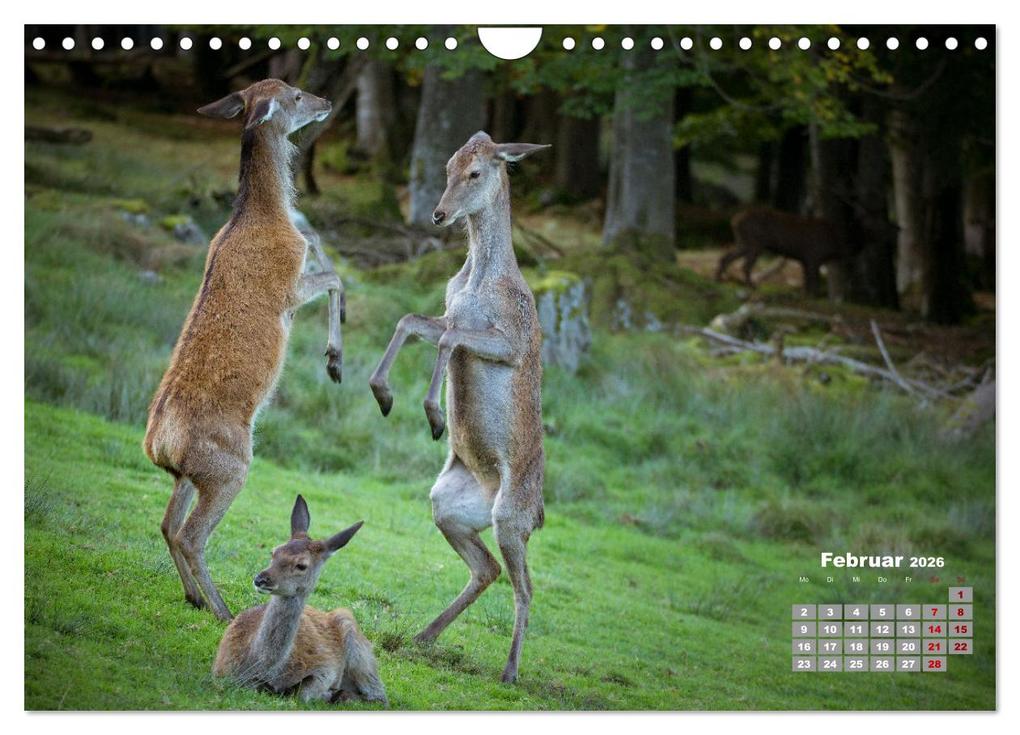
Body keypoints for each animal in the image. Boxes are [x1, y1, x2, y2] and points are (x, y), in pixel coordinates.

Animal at [144, 79, 346, 621]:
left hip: (186, 475)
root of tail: (159, 445)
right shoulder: (288, 286)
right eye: (294, 96)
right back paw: (223, 610)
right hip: (230, 467)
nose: (325, 101)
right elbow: (335, 276)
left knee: (167, 524)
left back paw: (193, 596)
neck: (264, 215)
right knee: (190, 534)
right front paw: (334, 360)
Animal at [213, 495, 387, 705]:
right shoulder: (221, 668)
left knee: (380, 696)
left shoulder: (325, 667)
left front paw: (328, 693)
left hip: (356, 641)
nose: (261, 579)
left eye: (301, 565)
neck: (264, 667)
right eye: (274, 552)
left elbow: (304, 692)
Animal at [368, 131, 549, 684]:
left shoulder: (510, 340)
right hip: (447, 504)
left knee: (525, 585)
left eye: (476, 173)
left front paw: (432, 413)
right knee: (487, 568)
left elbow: (448, 338)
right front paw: (383, 393)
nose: (439, 214)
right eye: (447, 165)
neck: (475, 283)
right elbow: (412, 320)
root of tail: (539, 514)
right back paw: (421, 636)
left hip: (511, 517)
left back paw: (510, 672)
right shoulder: (449, 309)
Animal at [716, 206, 858, 296]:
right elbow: (813, 280)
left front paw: (806, 295)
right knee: (745, 265)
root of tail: (734, 221)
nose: (851, 285)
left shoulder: (805, 260)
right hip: (755, 243)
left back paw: (719, 279)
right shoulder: (813, 257)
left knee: (725, 257)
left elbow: (807, 280)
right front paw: (813, 296)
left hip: (743, 242)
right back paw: (752, 285)